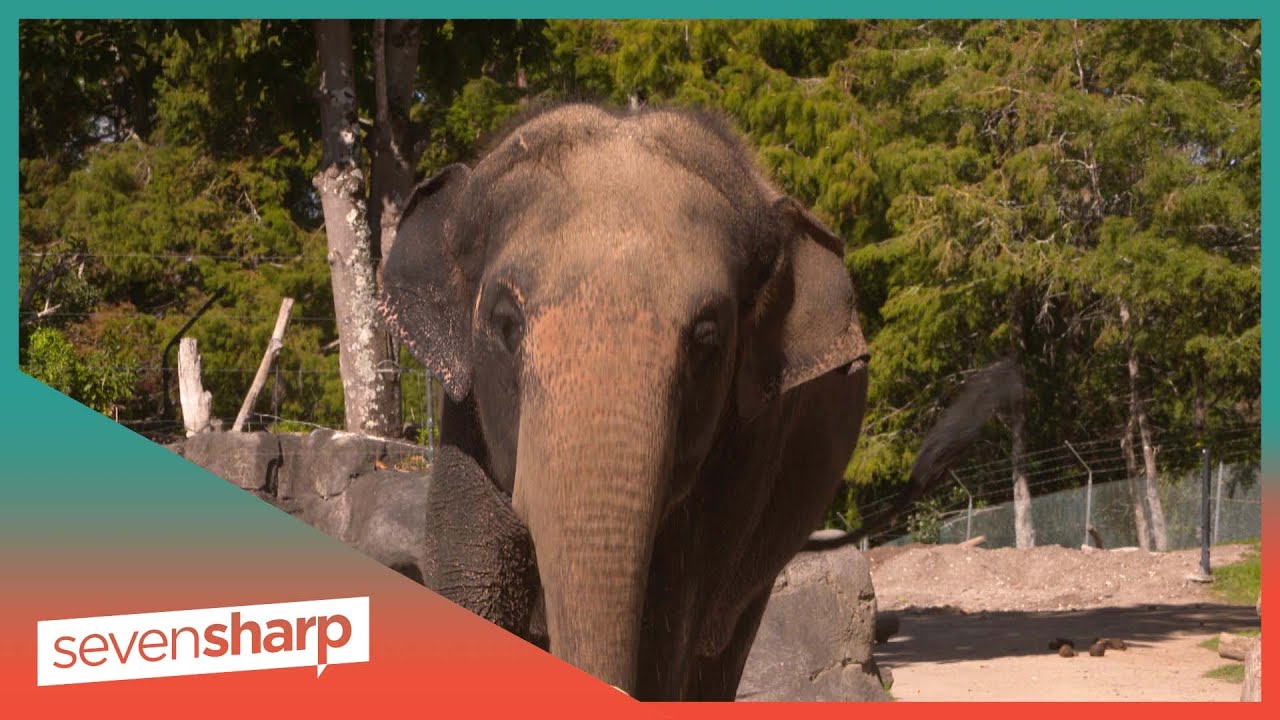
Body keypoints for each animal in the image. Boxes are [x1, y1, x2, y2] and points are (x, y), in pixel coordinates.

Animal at [381, 103, 872, 700]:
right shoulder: (466, 425)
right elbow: (470, 583)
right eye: (506, 324)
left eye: (707, 340)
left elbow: (663, 641)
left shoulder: (738, 468)